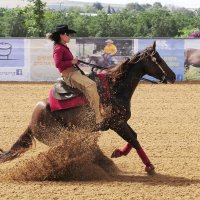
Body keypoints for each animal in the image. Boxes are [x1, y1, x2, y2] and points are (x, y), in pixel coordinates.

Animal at [0, 41, 175, 175]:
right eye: (158, 59)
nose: (173, 76)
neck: (115, 88)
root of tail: (32, 122)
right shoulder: (116, 123)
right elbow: (134, 140)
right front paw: (149, 167)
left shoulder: (121, 121)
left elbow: (134, 137)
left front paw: (118, 152)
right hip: (58, 137)